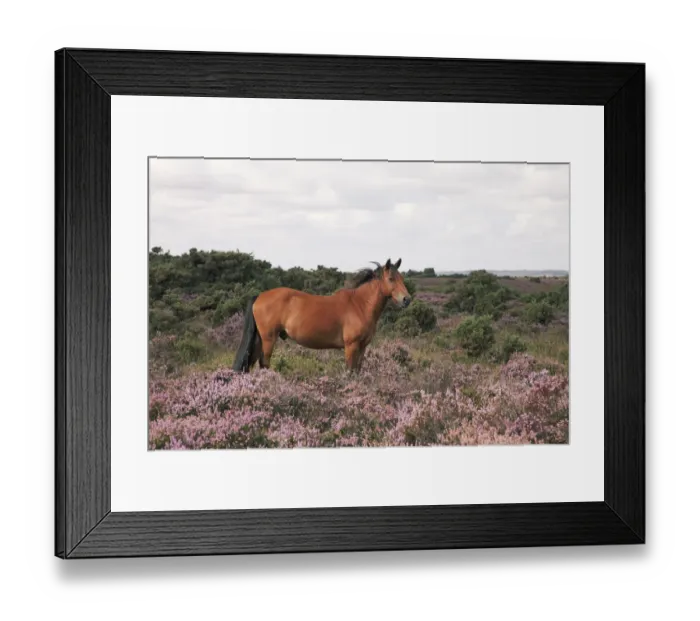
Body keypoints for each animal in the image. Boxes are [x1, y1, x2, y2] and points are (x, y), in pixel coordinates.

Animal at [233, 258, 412, 373]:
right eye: (391, 278)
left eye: (402, 278)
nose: (407, 299)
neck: (360, 305)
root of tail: (260, 296)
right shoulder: (351, 346)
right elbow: (350, 372)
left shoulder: (362, 347)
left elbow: (357, 372)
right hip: (269, 339)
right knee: (264, 363)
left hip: (260, 339)